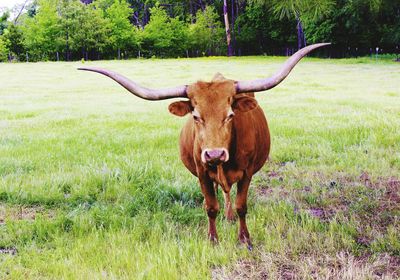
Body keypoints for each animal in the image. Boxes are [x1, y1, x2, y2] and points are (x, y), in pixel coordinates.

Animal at [79, 42, 330, 248]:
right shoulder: (202, 173)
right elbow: (210, 207)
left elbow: (241, 206)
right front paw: (213, 239)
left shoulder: (248, 172)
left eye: (230, 115)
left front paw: (244, 239)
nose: (214, 154)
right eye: (196, 116)